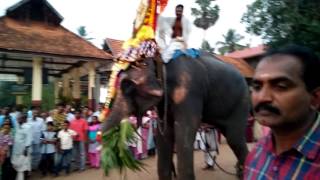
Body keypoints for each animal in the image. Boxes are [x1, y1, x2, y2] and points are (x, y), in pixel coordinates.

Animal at [102, 51, 250, 180]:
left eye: (128, 87)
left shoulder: (189, 92)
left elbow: (184, 134)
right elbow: (164, 135)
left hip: (241, 103)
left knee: (234, 138)